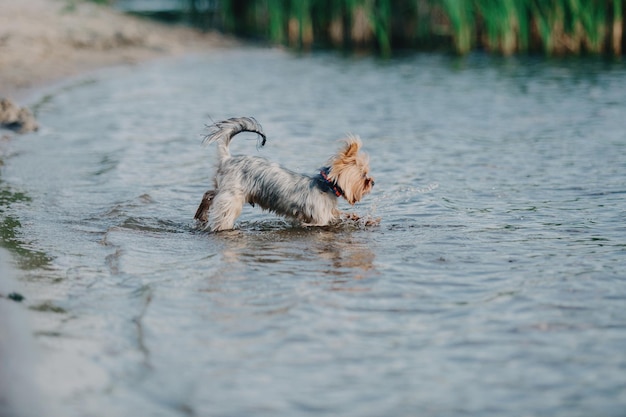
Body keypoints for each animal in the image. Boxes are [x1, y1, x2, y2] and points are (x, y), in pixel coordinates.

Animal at [193, 117, 372, 231]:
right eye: (364, 175)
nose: (372, 182)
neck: (327, 185)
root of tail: (227, 159)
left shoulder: (329, 214)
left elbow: (342, 215)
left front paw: (359, 218)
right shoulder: (319, 219)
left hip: (224, 189)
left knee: (209, 194)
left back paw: (200, 215)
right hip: (232, 197)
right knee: (222, 212)